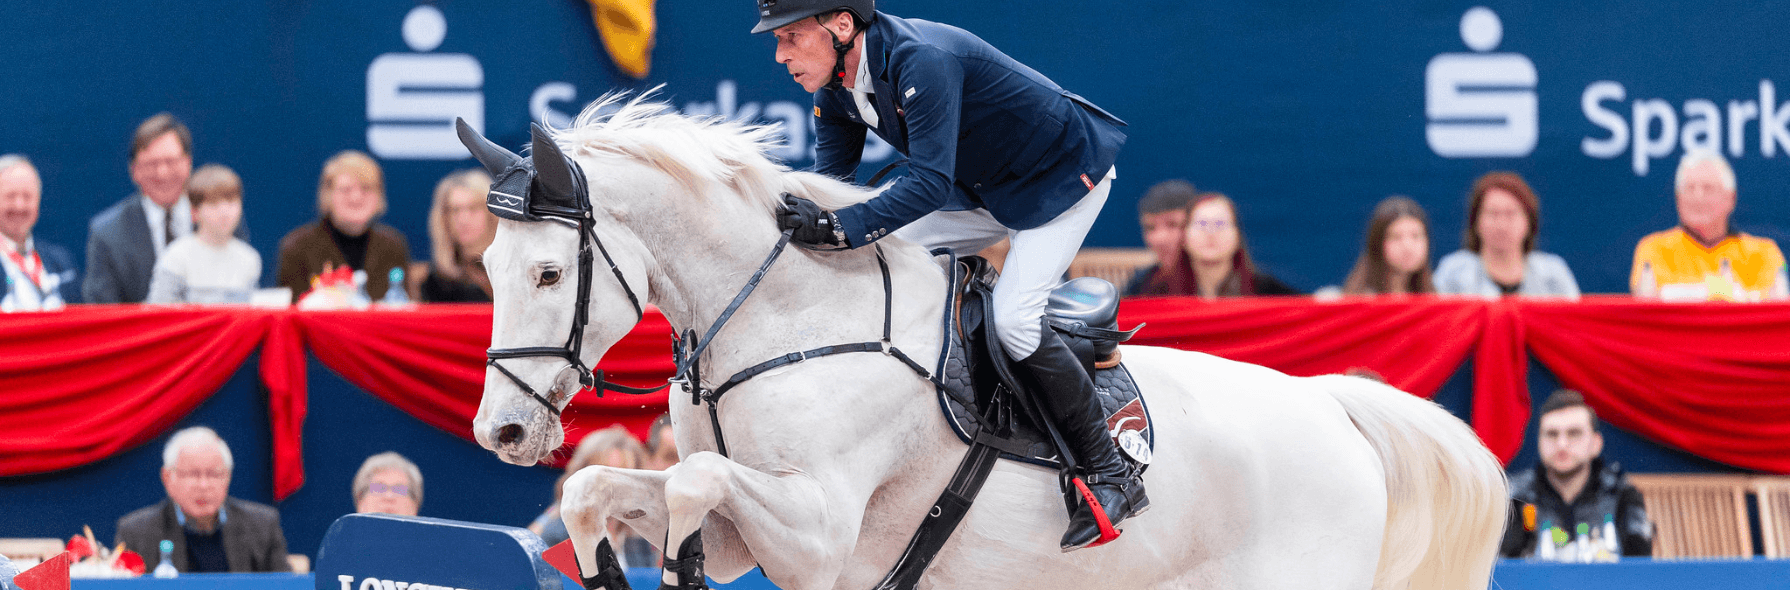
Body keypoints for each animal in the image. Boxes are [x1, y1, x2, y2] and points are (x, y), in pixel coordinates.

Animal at [466, 94, 1508, 590]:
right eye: (484, 265)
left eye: (549, 275)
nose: (502, 435)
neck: (787, 316)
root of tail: (1333, 404)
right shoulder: (749, 535)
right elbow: (603, 489)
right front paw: (606, 563)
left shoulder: (817, 533)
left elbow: (692, 483)